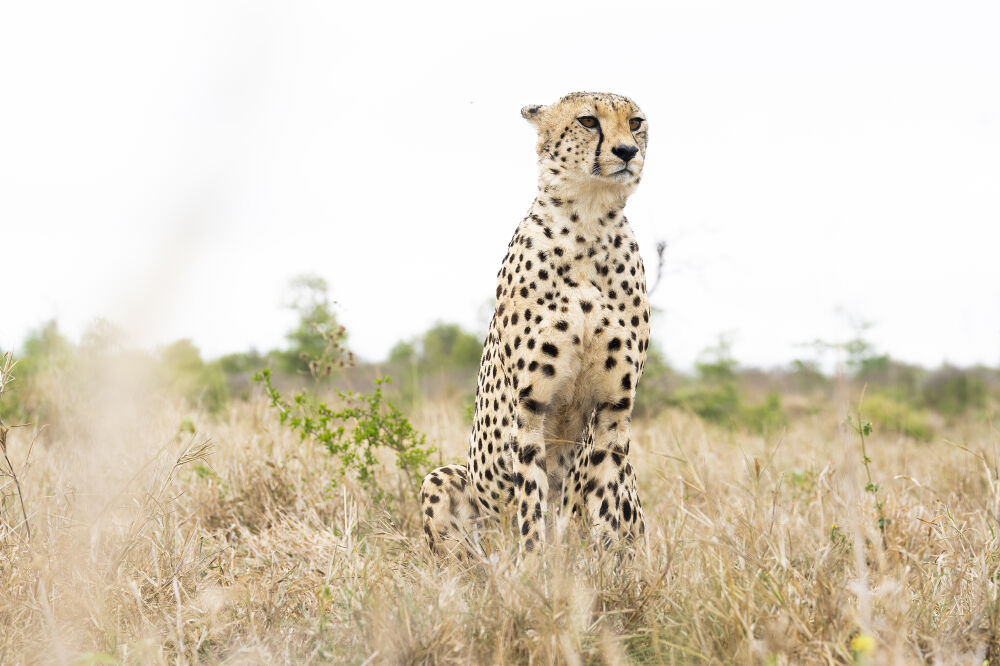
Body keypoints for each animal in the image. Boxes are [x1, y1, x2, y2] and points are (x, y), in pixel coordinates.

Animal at [420, 89, 648, 556]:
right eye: (588, 121)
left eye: (635, 123)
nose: (627, 151)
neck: (589, 222)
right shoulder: (531, 403)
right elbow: (531, 502)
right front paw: (534, 566)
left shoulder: (615, 406)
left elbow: (603, 500)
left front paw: (603, 567)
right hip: (444, 480)